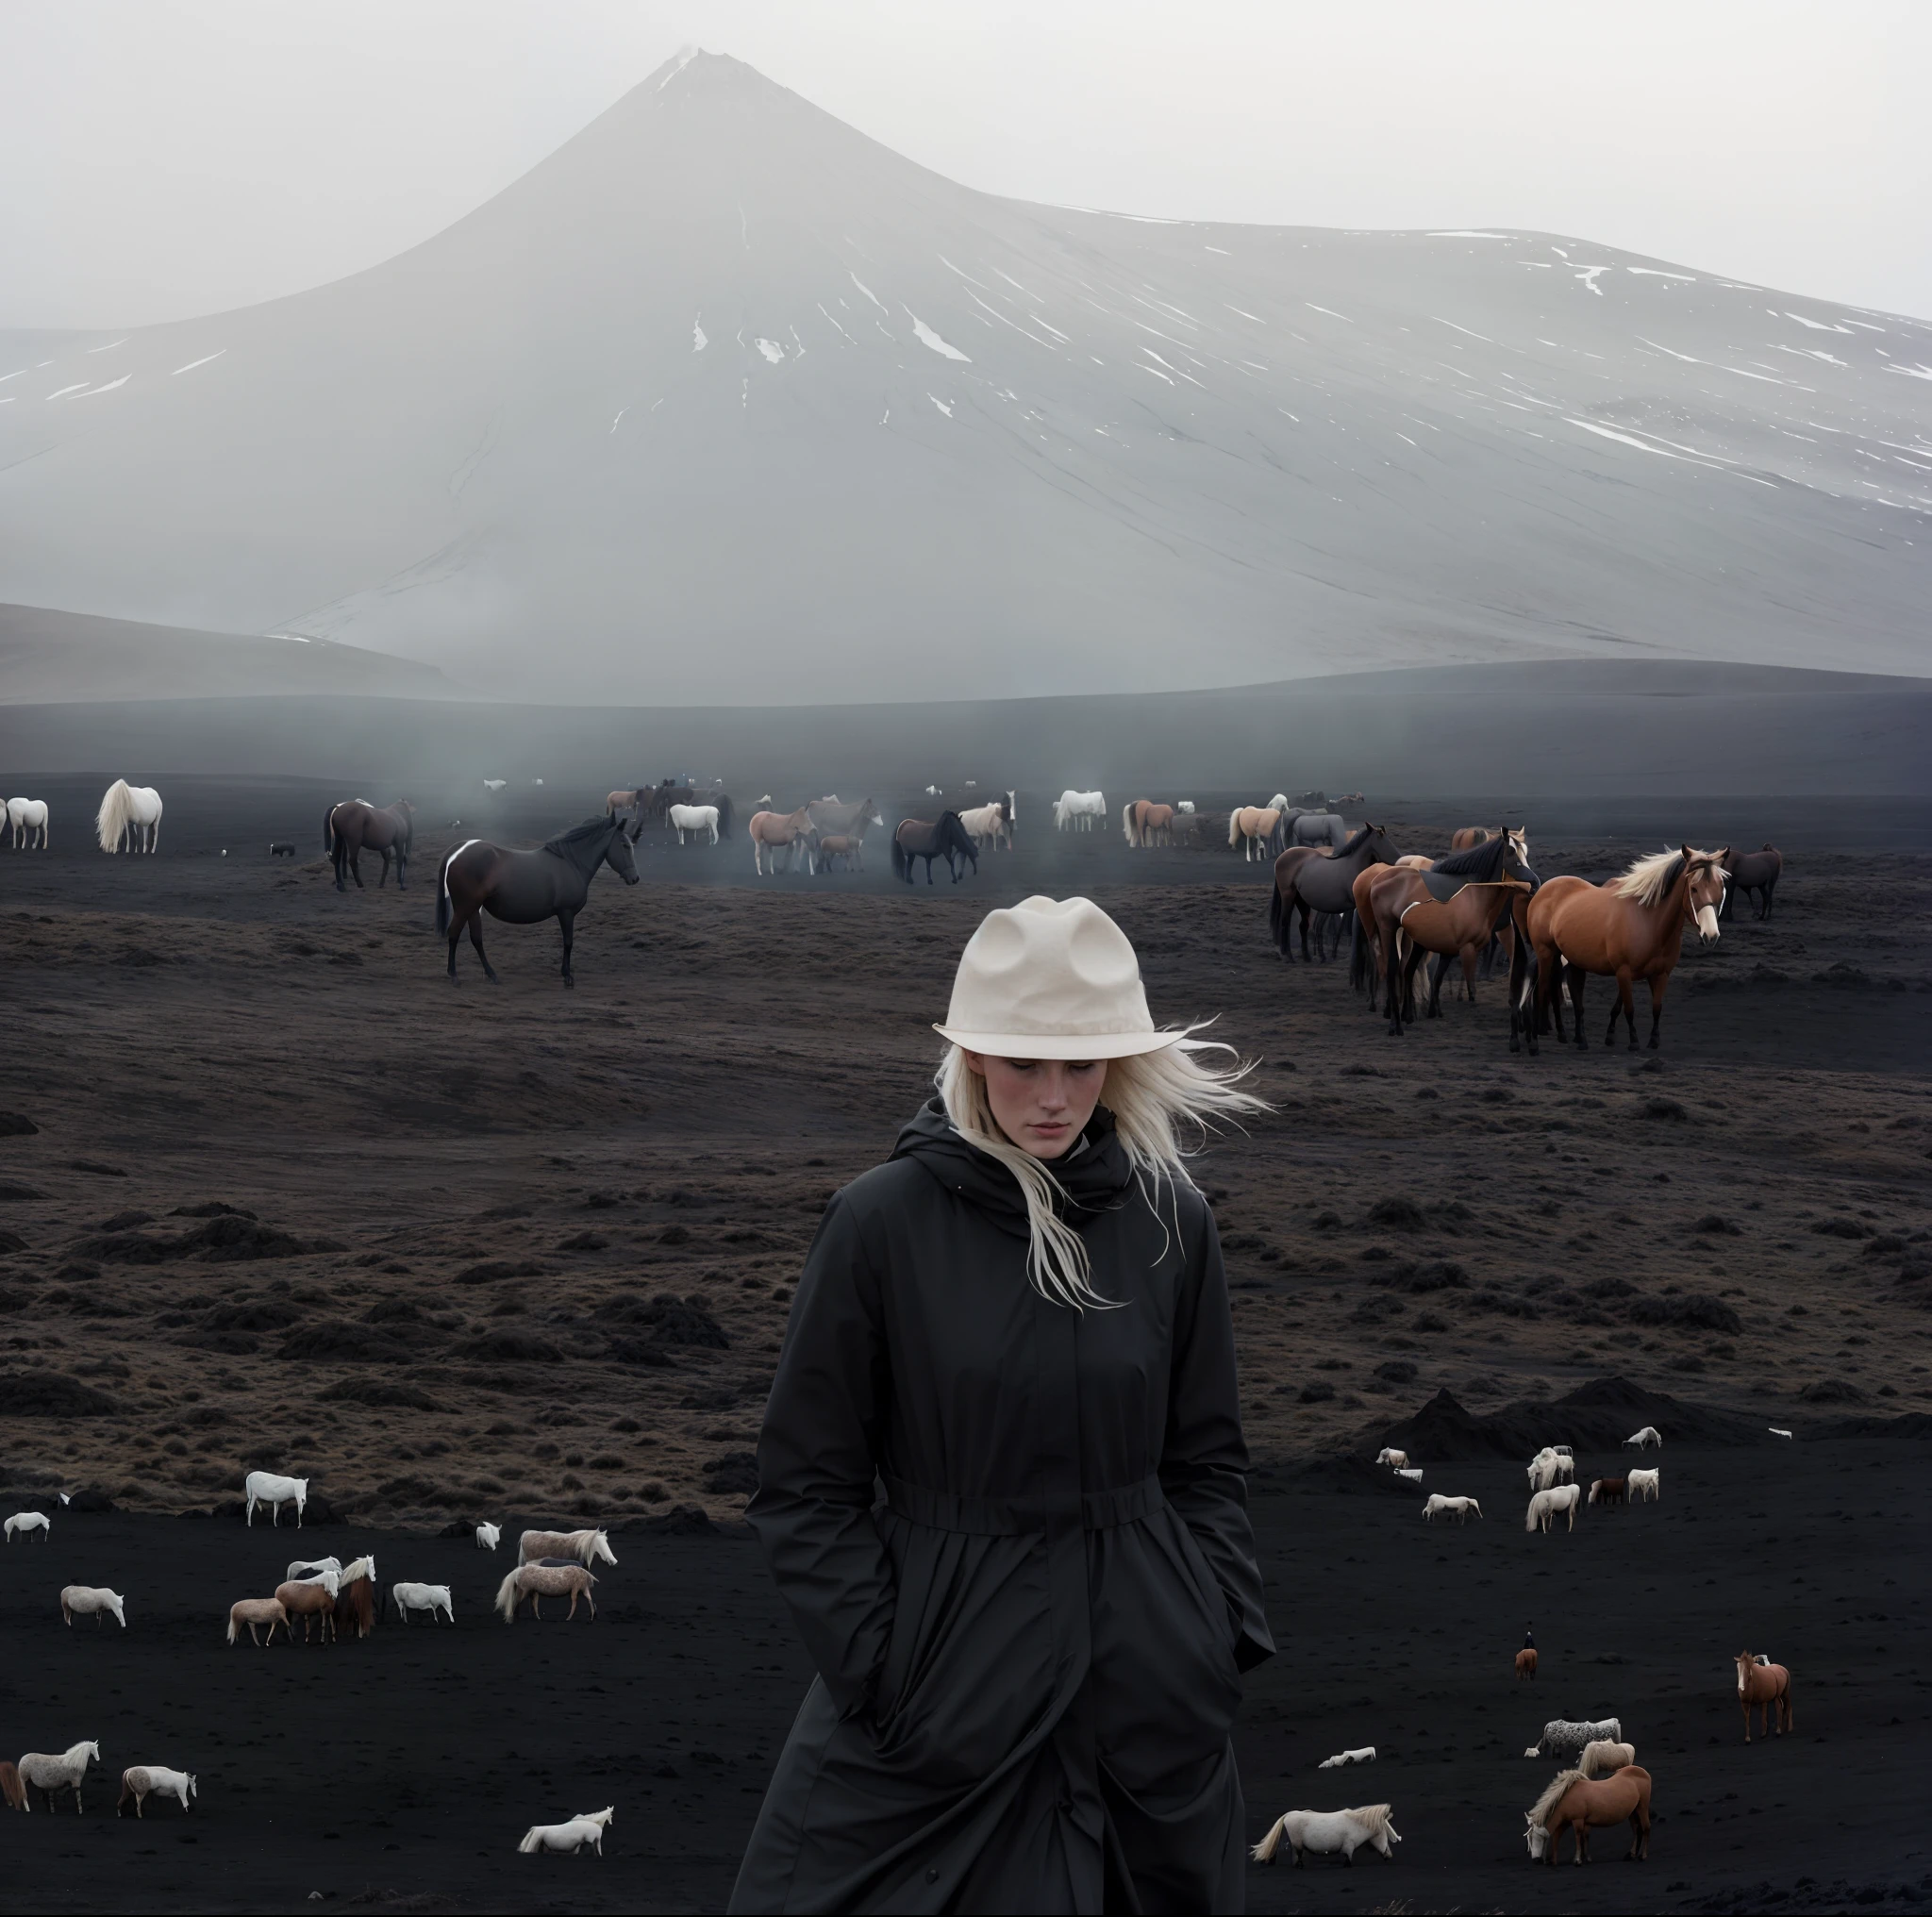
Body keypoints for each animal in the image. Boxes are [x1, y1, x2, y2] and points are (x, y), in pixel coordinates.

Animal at [432, 811, 637, 989]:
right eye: (625, 845)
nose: (635, 878)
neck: (571, 862)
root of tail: (459, 850)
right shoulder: (566, 912)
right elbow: (568, 942)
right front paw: (567, 977)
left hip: (473, 908)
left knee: (476, 939)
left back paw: (492, 975)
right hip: (465, 907)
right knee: (454, 934)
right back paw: (455, 976)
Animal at [1252, 1801, 1406, 1862]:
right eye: (1384, 1832)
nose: (1389, 1855)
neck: (1357, 1823)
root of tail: (1289, 1814)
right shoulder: (1348, 1848)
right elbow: (1348, 1862)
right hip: (1297, 1845)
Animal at [1267, 830, 1406, 966]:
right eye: (1384, 842)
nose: (1399, 860)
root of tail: (1282, 857)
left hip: (1301, 900)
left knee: (1303, 925)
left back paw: (1307, 957)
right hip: (1288, 896)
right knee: (1285, 922)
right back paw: (1288, 956)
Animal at [1530, 842, 1731, 1051]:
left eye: (1721, 888)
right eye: (1694, 889)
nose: (1711, 935)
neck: (1649, 922)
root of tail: (1546, 888)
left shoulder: (1660, 973)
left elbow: (1654, 1007)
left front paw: (1651, 1040)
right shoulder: (1624, 971)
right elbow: (1629, 1008)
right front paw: (1633, 1041)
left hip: (1573, 959)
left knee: (1572, 997)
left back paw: (1576, 1038)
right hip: (1546, 953)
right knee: (1542, 989)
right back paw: (1537, 1038)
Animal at [1530, 1762, 1654, 1862]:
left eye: (1539, 1838)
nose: (1536, 1859)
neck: (1568, 1797)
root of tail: (1642, 1772)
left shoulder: (1578, 1820)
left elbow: (1578, 1836)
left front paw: (1578, 1860)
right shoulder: (1585, 1822)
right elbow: (1585, 1837)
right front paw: (1586, 1858)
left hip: (1642, 1807)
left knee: (1646, 1828)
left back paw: (1643, 1855)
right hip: (1633, 1812)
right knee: (1636, 1830)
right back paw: (1631, 1854)